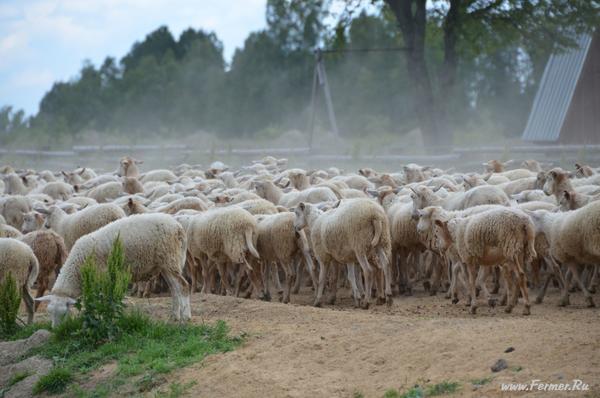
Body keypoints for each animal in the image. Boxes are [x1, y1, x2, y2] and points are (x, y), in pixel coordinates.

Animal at [36, 213, 191, 324]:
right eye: (49, 313)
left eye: (64, 313)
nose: (57, 331)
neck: (78, 268)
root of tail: (179, 228)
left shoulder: (102, 276)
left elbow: (103, 300)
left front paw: (103, 318)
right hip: (166, 264)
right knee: (174, 288)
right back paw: (174, 316)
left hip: (170, 259)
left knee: (183, 286)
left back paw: (186, 317)